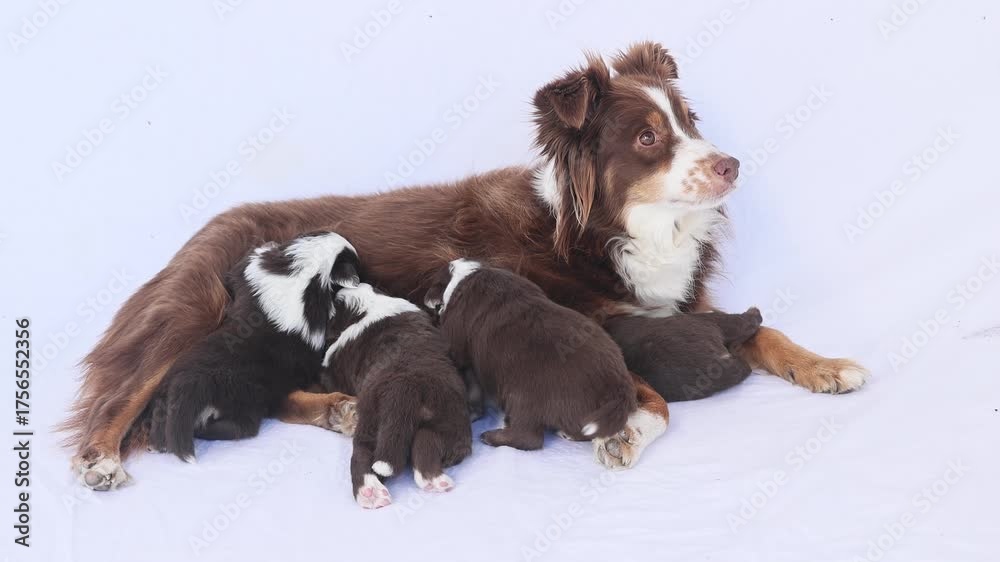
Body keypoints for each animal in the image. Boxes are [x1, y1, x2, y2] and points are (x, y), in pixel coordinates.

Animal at [144, 232, 360, 466]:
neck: (309, 260)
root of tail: (195, 383)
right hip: (244, 406)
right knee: (241, 427)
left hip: (167, 394)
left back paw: (158, 442)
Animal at [321, 283, 471, 509]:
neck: (366, 306)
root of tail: (405, 388)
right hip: (449, 421)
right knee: (426, 445)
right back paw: (435, 481)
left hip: (371, 422)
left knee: (362, 453)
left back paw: (369, 492)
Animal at [425, 260, 638, 453]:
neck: (466, 275)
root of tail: (618, 386)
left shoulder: (456, 340)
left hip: (522, 395)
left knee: (529, 437)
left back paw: (491, 436)